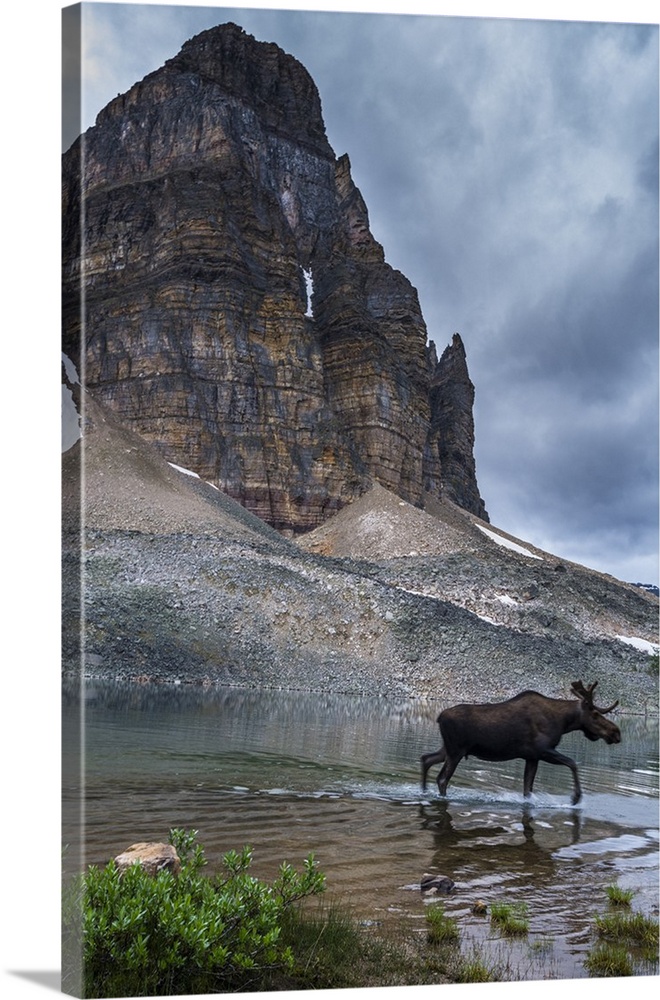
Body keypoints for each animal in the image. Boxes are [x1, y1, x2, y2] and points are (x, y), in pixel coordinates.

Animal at [420, 680, 620, 804]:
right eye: (595, 714)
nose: (616, 732)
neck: (563, 723)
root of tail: (439, 717)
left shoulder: (532, 757)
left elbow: (527, 790)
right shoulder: (543, 750)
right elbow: (572, 763)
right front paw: (576, 797)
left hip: (448, 748)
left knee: (426, 759)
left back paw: (423, 790)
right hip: (456, 751)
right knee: (442, 779)